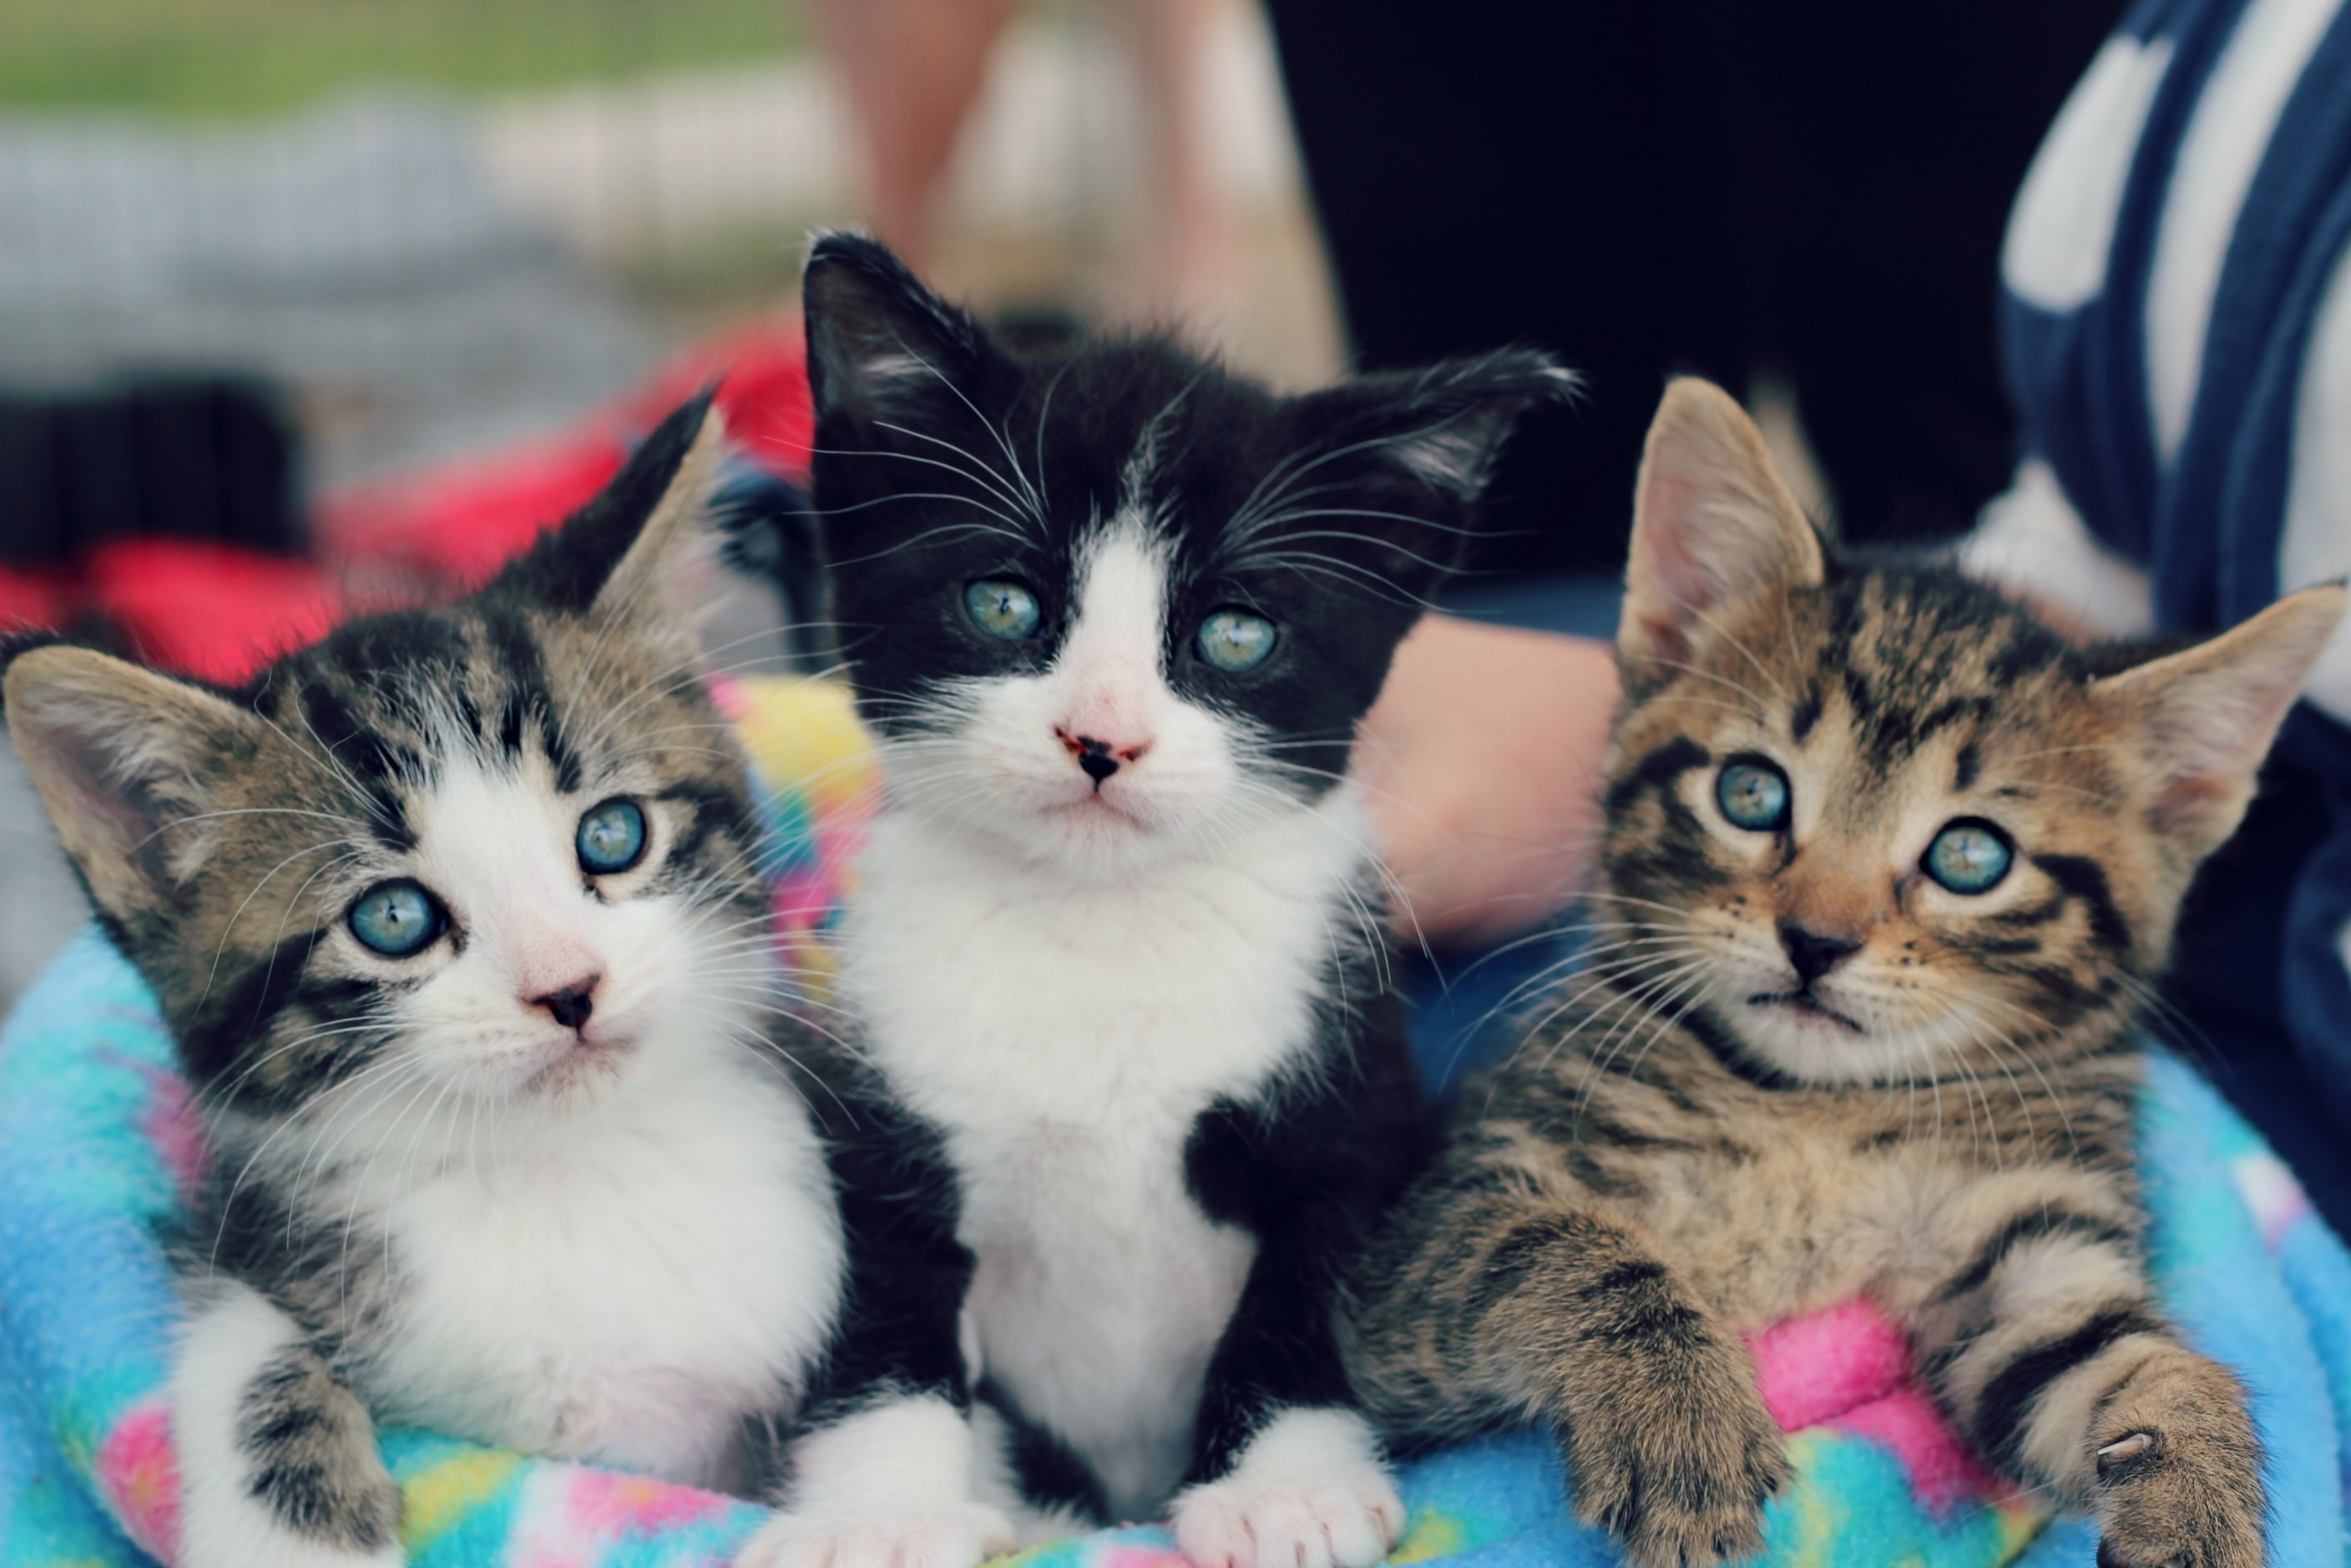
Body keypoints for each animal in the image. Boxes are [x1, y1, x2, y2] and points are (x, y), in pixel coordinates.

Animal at [0, 402, 846, 1568]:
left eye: (612, 834)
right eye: (392, 919)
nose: (569, 989)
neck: (559, 1174)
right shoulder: (236, 1232)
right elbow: (241, 1332)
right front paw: (294, 1538)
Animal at [733, 240, 1570, 1568]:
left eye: (1234, 634)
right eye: (1003, 605)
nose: (1102, 740)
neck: (1100, 928)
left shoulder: (1358, 1096)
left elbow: (1311, 1289)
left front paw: (1283, 1491)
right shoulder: (877, 1117)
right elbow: (886, 1319)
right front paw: (880, 1513)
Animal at [1335, 381, 2341, 1568]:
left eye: (1969, 857)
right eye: (1750, 793)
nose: (1815, 941)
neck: (1811, 1108)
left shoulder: (2024, 1249)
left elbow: (2126, 1363)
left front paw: (2194, 1497)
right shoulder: (1413, 1263)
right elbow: (1559, 1244)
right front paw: (1677, 1407)